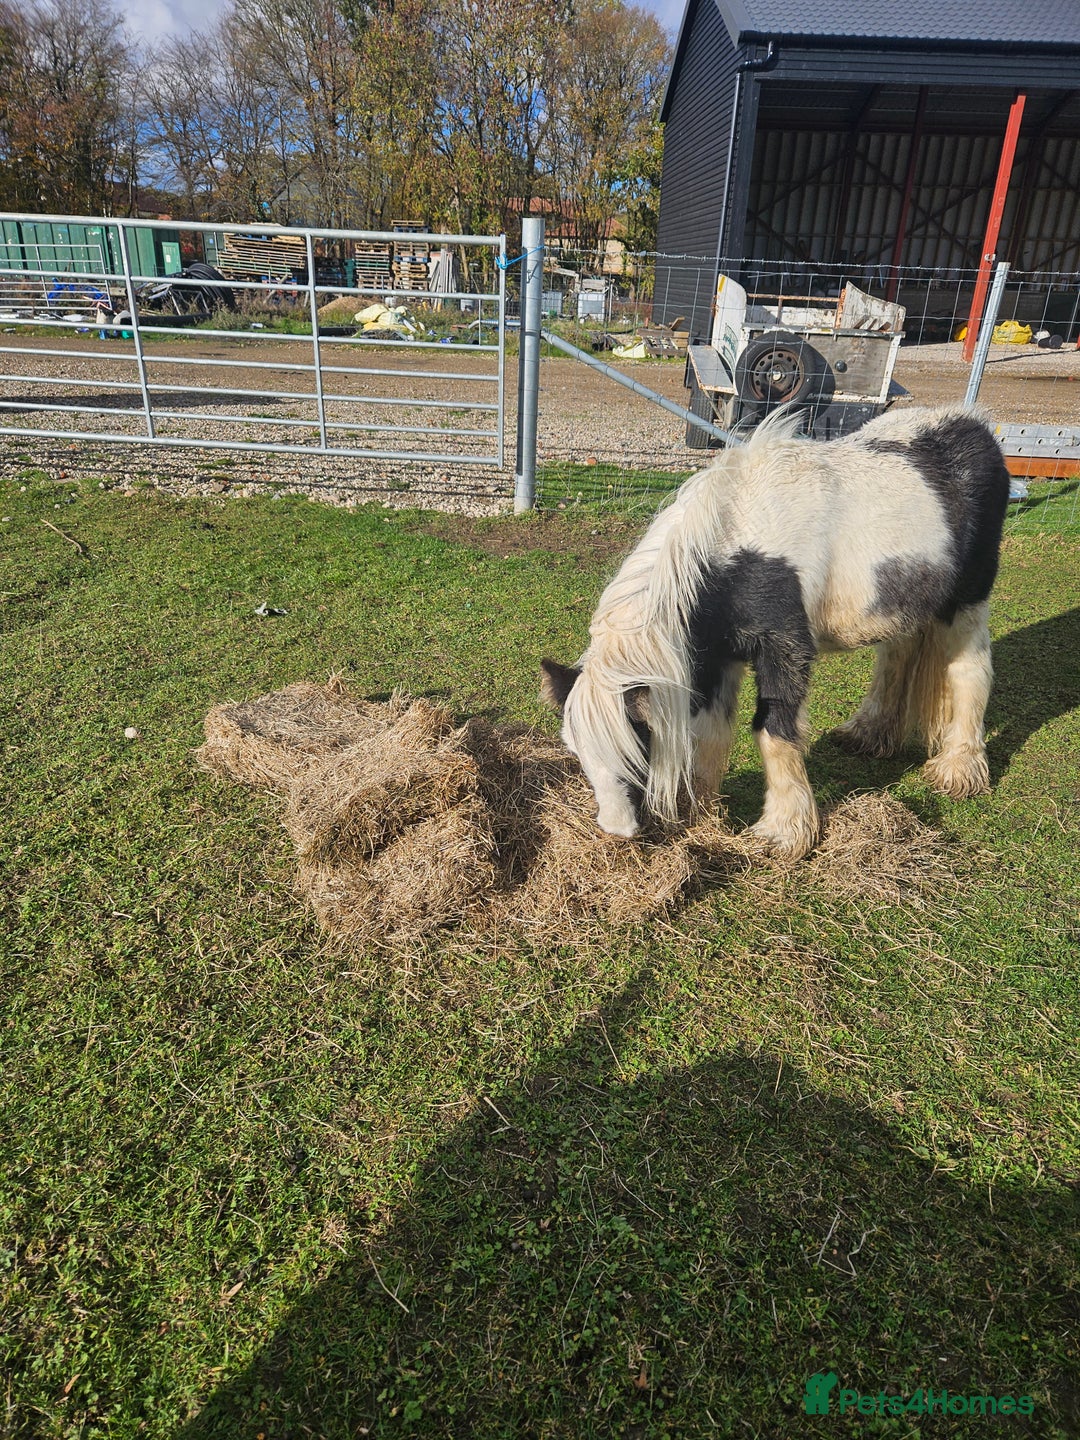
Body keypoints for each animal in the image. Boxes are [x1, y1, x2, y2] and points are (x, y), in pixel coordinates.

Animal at [540, 403, 1010, 859]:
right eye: (576, 751)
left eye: (637, 746)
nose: (617, 831)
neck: (734, 543)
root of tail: (976, 427)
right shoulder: (716, 655)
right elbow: (709, 730)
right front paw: (698, 815)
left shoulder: (784, 649)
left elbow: (773, 731)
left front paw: (784, 832)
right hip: (902, 601)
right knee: (896, 657)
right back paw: (869, 735)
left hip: (967, 599)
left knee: (970, 670)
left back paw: (959, 770)